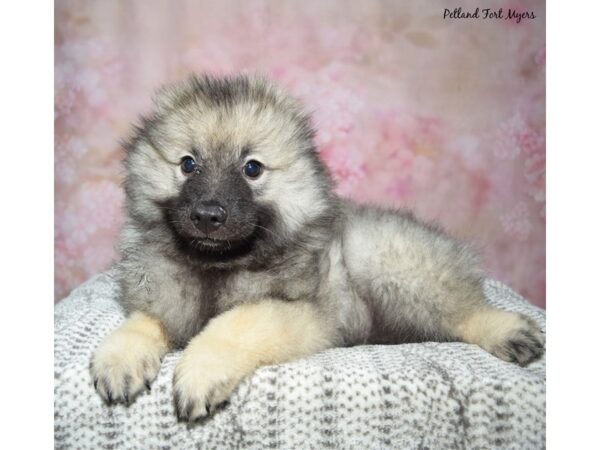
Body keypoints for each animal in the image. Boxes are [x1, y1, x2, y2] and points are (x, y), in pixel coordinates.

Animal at [91, 74, 548, 422]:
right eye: (188, 164)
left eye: (252, 168)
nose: (207, 215)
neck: (217, 264)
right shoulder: (166, 301)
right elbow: (142, 322)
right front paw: (120, 358)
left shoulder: (301, 313)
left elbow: (234, 324)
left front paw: (202, 370)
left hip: (385, 258)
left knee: (464, 310)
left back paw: (505, 329)